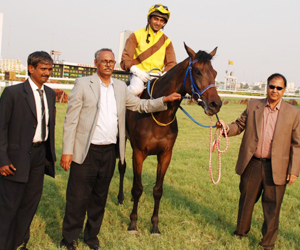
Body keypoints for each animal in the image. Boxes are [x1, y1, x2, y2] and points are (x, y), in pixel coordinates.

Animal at [117, 43, 223, 234]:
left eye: (215, 72)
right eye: (197, 72)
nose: (215, 104)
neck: (158, 114)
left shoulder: (166, 154)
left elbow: (158, 190)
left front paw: (155, 226)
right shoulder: (139, 153)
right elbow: (138, 188)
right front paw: (133, 224)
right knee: (121, 167)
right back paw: (120, 197)